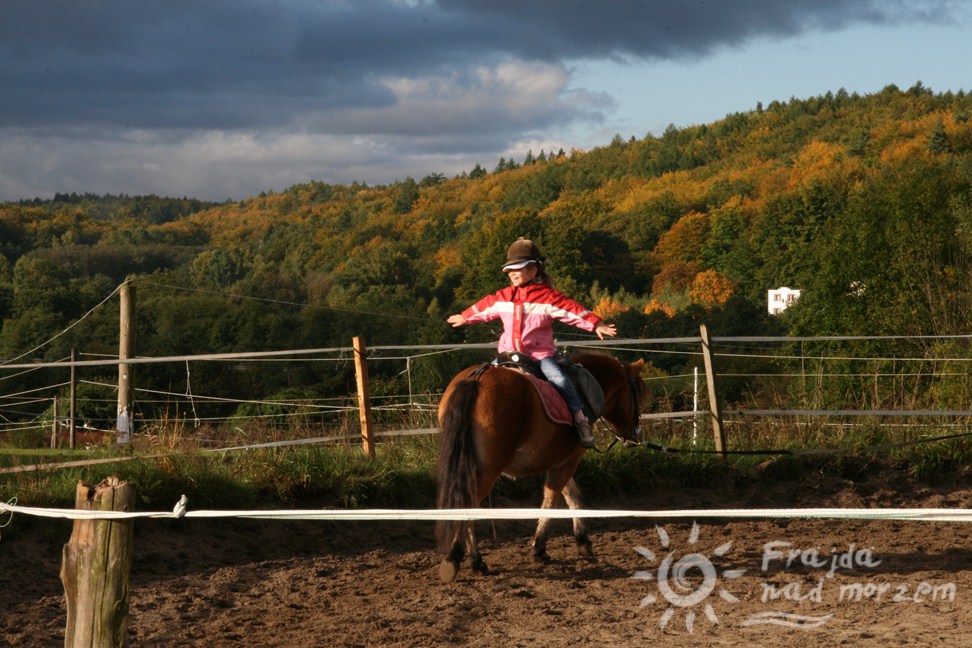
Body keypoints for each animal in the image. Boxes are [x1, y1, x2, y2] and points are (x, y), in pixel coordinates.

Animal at [434, 352, 644, 584]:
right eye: (638, 394)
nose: (636, 435)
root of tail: (477, 378)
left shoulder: (561, 460)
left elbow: (572, 496)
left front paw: (582, 541)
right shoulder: (570, 460)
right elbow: (552, 500)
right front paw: (540, 548)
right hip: (487, 471)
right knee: (467, 504)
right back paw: (464, 559)